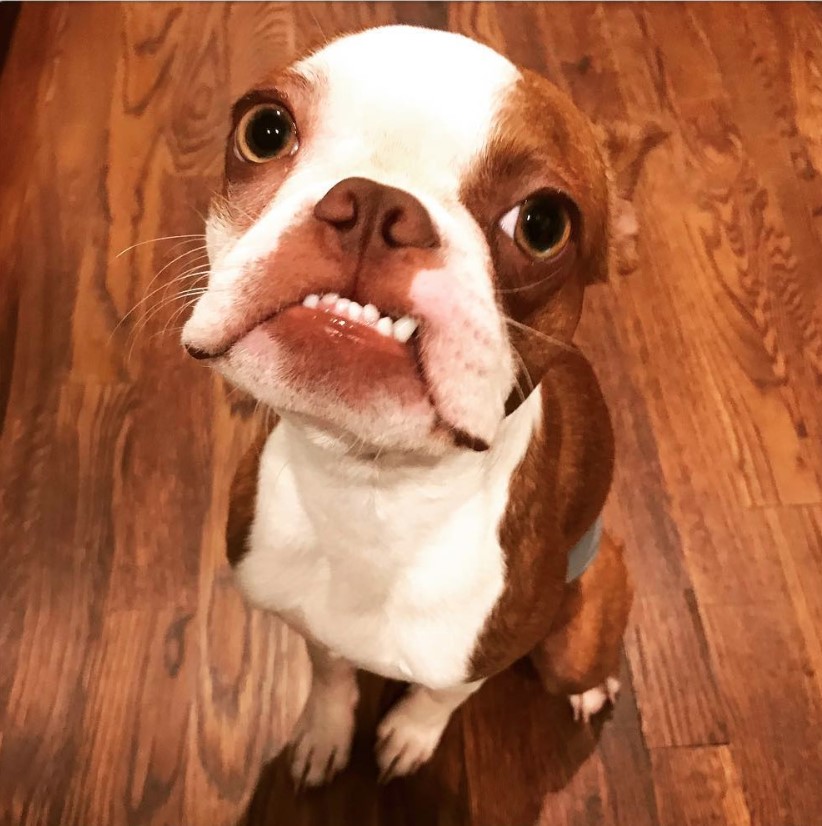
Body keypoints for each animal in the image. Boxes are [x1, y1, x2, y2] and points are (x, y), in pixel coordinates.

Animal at [183, 27, 640, 784]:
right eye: (265, 129)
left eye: (544, 224)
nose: (374, 204)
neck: (369, 487)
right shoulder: (308, 619)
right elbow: (330, 672)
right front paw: (324, 732)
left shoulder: (483, 650)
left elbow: (439, 697)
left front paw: (409, 736)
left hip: (577, 623)